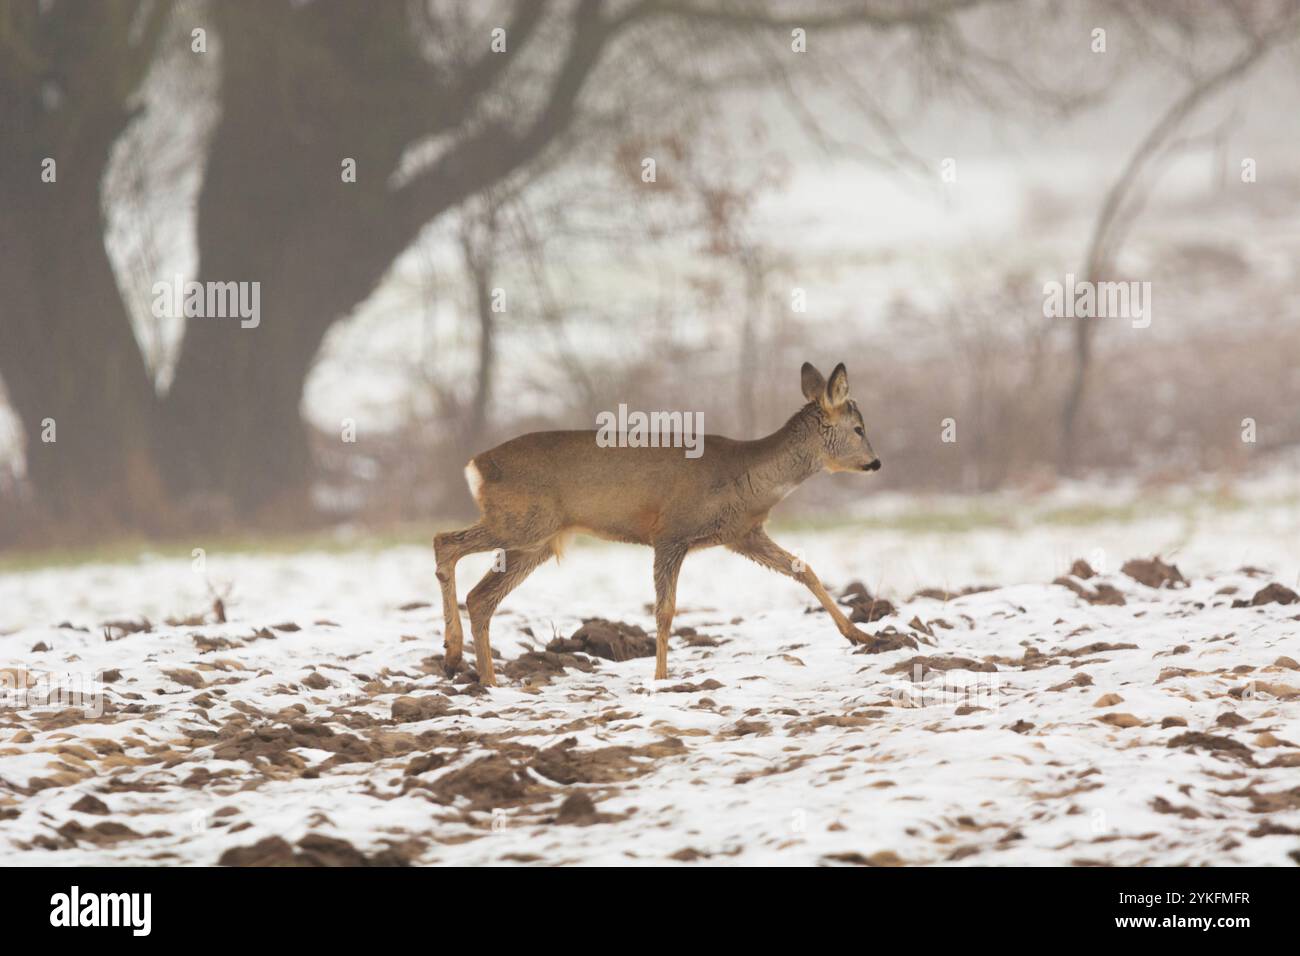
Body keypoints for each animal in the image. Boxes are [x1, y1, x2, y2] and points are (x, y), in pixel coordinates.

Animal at [436, 361, 883, 686]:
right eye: (859, 428)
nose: (876, 462)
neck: (748, 477)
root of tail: (475, 466)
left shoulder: (742, 534)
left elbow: (804, 569)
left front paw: (861, 635)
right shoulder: (671, 532)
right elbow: (665, 611)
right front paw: (661, 676)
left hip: (535, 540)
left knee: (481, 597)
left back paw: (486, 679)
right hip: (521, 522)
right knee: (445, 542)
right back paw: (454, 656)